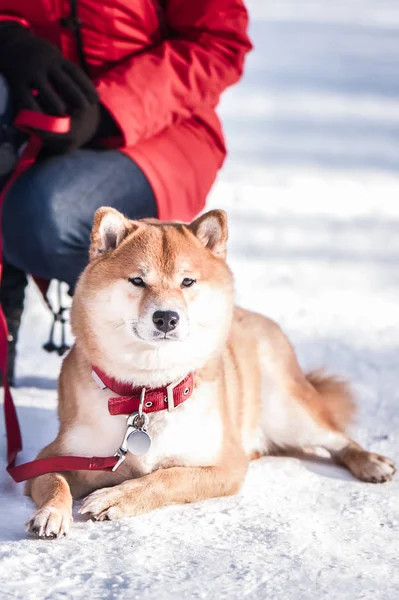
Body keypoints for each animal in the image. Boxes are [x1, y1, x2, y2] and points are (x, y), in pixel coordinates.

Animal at [25, 207, 396, 540]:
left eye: (187, 281)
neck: (148, 394)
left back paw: (371, 461)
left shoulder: (225, 464)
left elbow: (168, 477)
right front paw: (52, 512)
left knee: (336, 438)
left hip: (289, 411)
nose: (166, 317)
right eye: (137, 280)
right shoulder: (54, 457)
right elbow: (53, 480)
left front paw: (117, 496)